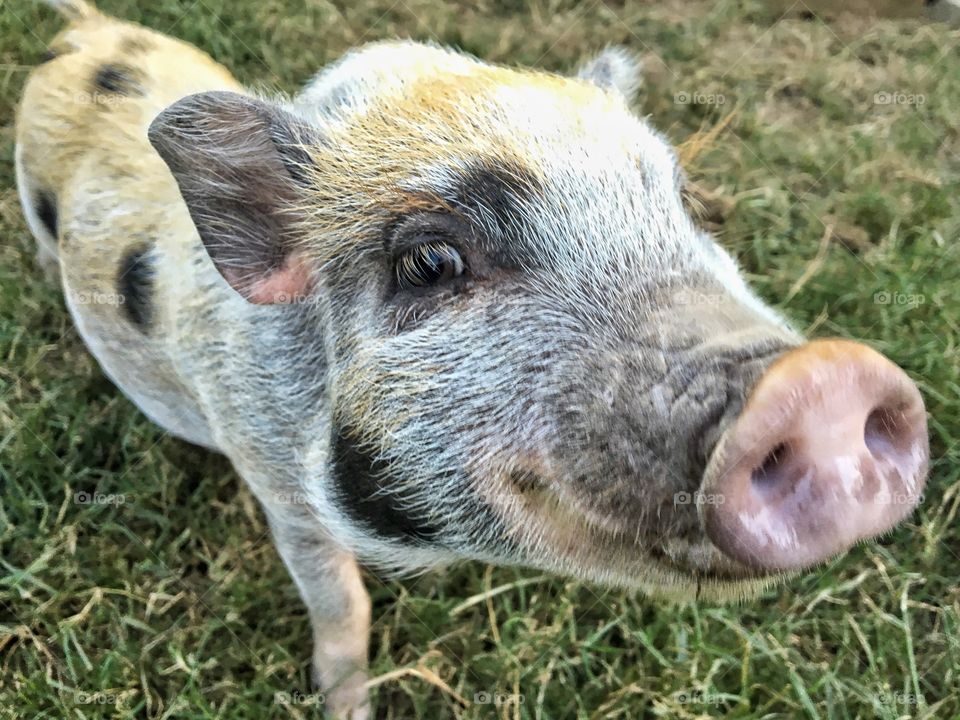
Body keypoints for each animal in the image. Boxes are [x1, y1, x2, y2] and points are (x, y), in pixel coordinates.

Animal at [15, 2, 928, 716]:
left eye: (685, 209)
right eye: (429, 262)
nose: (824, 378)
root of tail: (86, 31)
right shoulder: (278, 486)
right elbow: (342, 606)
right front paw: (349, 706)